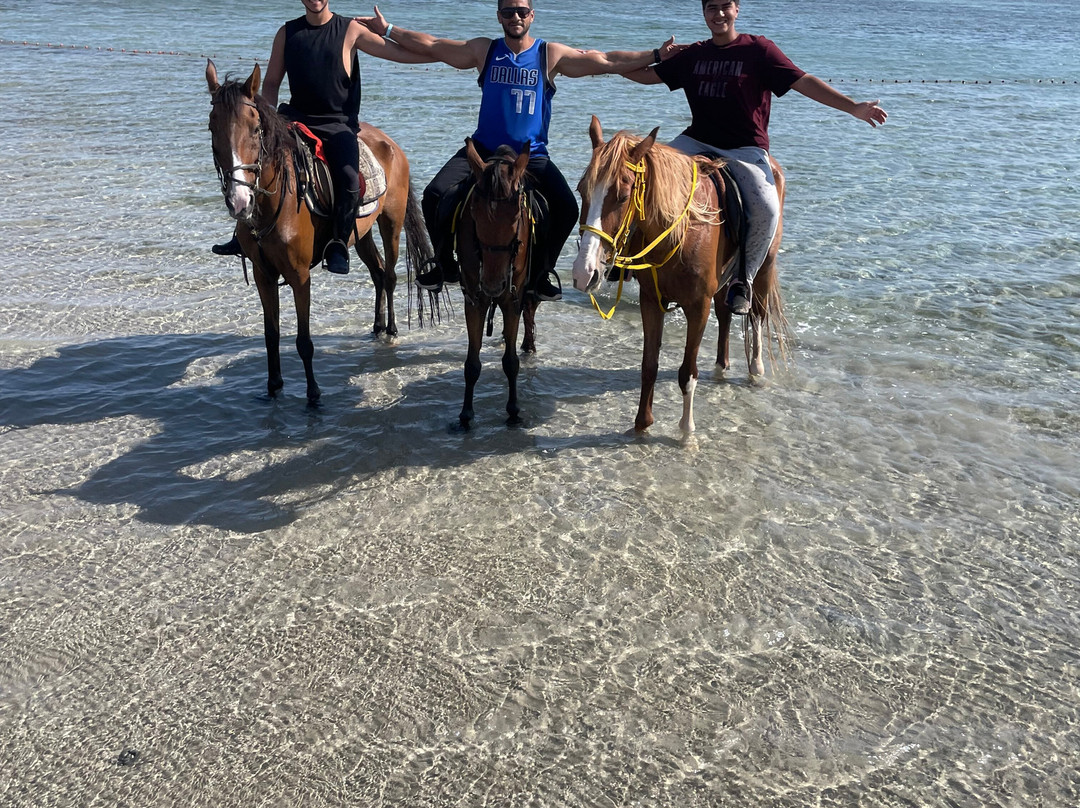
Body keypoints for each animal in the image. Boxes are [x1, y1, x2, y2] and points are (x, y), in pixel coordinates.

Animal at [205, 60, 431, 405]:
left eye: (256, 130)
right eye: (212, 128)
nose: (239, 200)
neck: (275, 203)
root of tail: (390, 144)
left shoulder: (300, 276)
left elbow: (303, 340)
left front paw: (313, 393)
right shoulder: (263, 274)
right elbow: (271, 335)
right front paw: (273, 386)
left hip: (390, 222)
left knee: (391, 275)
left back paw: (391, 329)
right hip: (360, 233)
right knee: (379, 273)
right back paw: (377, 326)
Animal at [455, 139, 541, 429]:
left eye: (517, 215)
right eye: (473, 212)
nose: (493, 284)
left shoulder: (512, 298)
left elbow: (511, 362)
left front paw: (513, 410)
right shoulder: (474, 299)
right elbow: (472, 362)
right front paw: (466, 414)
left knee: (530, 310)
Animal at [573, 115, 788, 434]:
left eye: (623, 196)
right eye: (580, 190)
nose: (583, 272)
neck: (682, 231)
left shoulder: (697, 306)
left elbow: (687, 372)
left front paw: (687, 431)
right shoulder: (651, 302)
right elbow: (649, 365)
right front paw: (642, 424)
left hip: (764, 266)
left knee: (758, 314)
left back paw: (756, 369)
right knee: (725, 314)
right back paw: (721, 366)